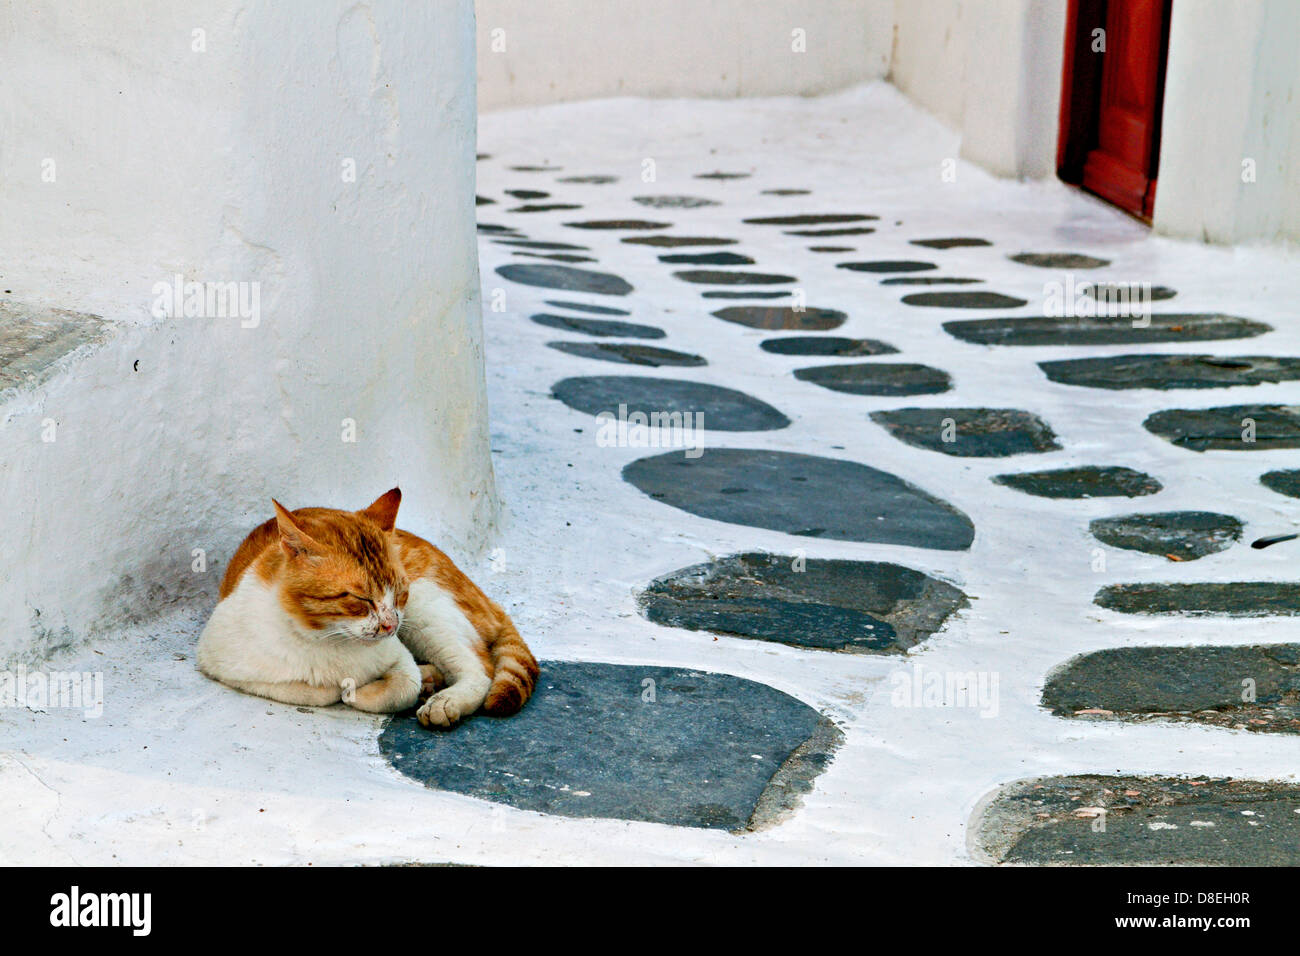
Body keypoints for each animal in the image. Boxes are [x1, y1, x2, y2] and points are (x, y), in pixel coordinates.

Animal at [193, 489, 538, 728]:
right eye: (361, 599)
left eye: (400, 593)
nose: (390, 626)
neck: (324, 640)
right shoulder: (219, 661)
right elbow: (309, 691)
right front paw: (341, 687)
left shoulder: (399, 652)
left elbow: (403, 685)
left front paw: (364, 691)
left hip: (429, 612)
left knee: (481, 668)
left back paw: (445, 700)